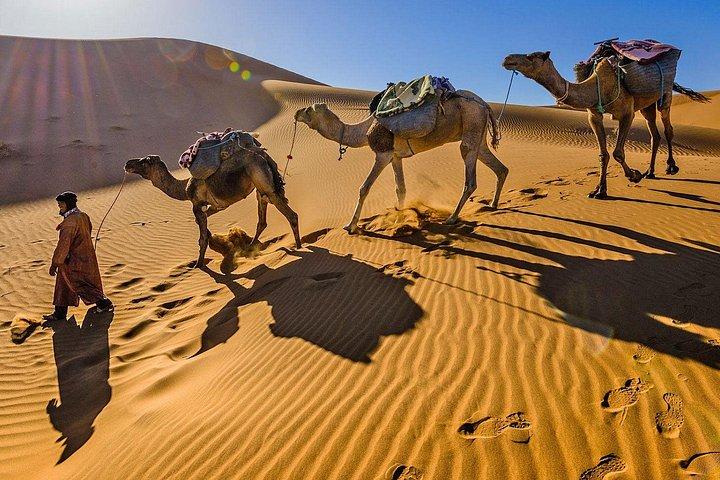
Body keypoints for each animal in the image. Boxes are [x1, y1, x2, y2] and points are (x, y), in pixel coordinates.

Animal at [124, 135, 301, 267]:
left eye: (144, 161)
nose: (127, 163)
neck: (184, 188)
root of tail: (264, 155)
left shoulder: (196, 205)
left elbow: (201, 237)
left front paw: (198, 265)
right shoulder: (216, 206)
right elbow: (202, 224)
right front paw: (214, 242)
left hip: (263, 181)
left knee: (290, 215)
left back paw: (299, 247)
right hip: (260, 186)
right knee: (262, 218)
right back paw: (250, 248)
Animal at [294, 92, 507, 234]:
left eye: (309, 110)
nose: (297, 113)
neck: (364, 130)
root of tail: (485, 105)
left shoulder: (383, 153)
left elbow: (364, 188)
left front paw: (351, 226)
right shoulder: (395, 157)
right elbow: (401, 188)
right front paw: (400, 215)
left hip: (472, 125)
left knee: (470, 176)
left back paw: (452, 218)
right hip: (478, 136)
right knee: (500, 168)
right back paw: (493, 205)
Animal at [502, 51, 709, 198]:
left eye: (531, 56)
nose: (507, 59)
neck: (598, 86)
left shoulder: (627, 113)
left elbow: (618, 152)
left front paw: (633, 175)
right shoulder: (594, 115)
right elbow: (603, 154)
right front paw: (599, 190)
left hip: (664, 94)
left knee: (668, 129)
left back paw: (671, 167)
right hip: (646, 105)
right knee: (654, 135)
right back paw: (650, 172)